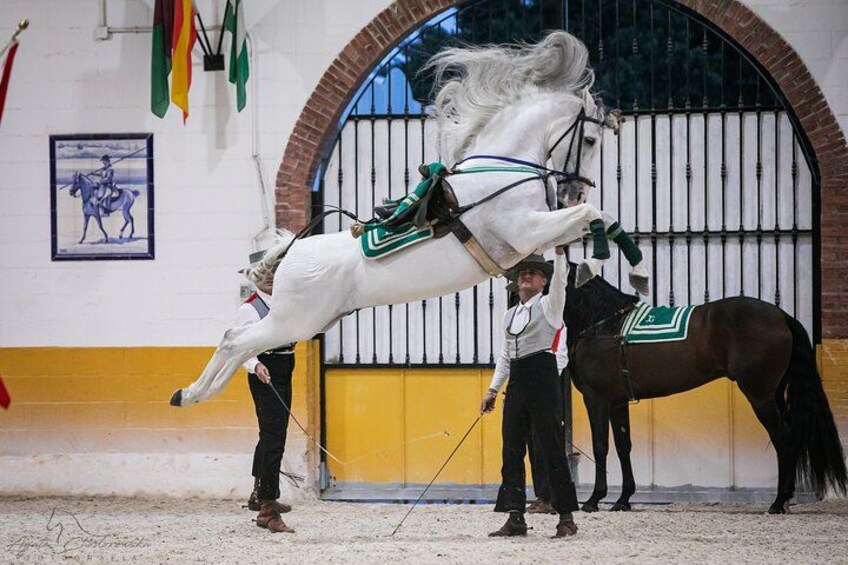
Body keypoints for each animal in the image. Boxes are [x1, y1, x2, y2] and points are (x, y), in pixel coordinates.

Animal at [170, 31, 648, 407]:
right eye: (590, 140)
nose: (574, 190)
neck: (501, 167)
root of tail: (291, 252)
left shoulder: (532, 237)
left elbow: (598, 220)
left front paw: (616, 270)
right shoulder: (524, 230)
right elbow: (594, 215)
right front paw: (605, 265)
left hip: (305, 322)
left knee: (237, 344)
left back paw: (195, 393)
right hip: (294, 321)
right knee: (234, 341)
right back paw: (192, 394)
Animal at [563, 266, 847, 514]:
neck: (602, 325)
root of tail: (783, 317)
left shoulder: (597, 399)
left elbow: (600, 446)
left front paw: (593, 500)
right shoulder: (617, 401)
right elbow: (623, 446)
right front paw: (623, 500)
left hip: (760, 395)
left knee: (783, 438)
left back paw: (778, 502)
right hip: (774, 394)